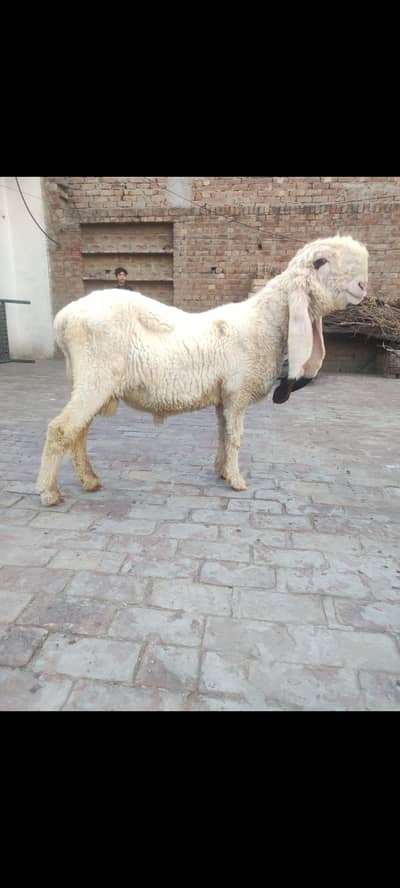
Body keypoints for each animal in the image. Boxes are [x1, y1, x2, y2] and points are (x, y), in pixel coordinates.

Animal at [36, 234, 368, 506]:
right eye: (320, 262)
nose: (362, 286)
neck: (263, 323)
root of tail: (63, 318)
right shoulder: (236, 393)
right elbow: (235, 436)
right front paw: (237, 481)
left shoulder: (224, 397)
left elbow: (222, 433)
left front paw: (221, 471)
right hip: (95, 376)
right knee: (62, 429)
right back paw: (49, 493)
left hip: (91, 381)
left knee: (78, 431)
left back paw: (90, 481)